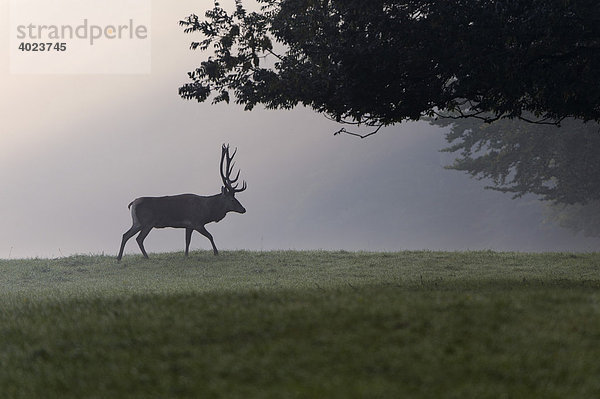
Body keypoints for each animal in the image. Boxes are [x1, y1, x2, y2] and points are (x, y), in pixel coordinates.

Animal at [116, 145, 247, 262]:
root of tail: (132, 203)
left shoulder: (189, 225)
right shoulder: (197, 222)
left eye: (236, 197)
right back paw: (145, 257)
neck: (207, 210)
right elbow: (210, 235)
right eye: (232, 200)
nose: (243, 209)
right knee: (139, 238)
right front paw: (216, 252)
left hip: (137, 222)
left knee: (125, 235)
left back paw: (119, 257)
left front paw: (186, 255)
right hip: (147, 222)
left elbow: (187, 241)